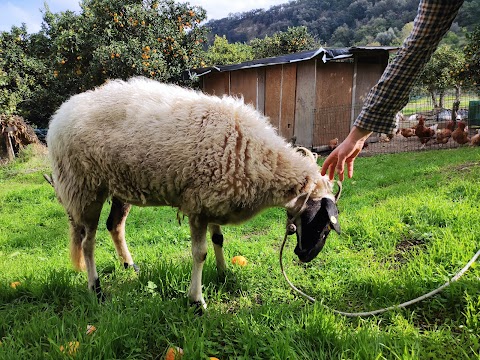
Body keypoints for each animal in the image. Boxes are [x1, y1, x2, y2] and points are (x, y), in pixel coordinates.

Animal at [46, 77, 342, 308]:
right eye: (323, 225)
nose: (305, 256)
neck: (255, 154)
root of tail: (60, 114)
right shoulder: (198, 205)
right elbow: (199, 254)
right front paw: (196, 301)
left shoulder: (213, 199)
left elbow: (219, 239)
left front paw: (223, 274)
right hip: (84, 187)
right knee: (87, 242)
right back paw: (96, 289)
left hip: (117, 186)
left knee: (114, 225)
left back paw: (130, 266)